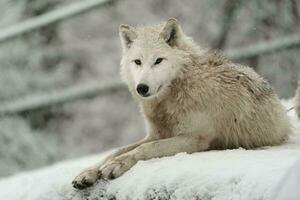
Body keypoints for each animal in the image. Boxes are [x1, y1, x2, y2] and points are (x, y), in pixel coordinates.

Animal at [71, 17, 292, 189]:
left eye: (158, 60)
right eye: (137, 62)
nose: (142, 88)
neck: (177, 89)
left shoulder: (194, 138)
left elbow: (145, 149)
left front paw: (116, 164)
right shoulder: (156, 134)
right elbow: (116, 150)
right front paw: (88, 172)